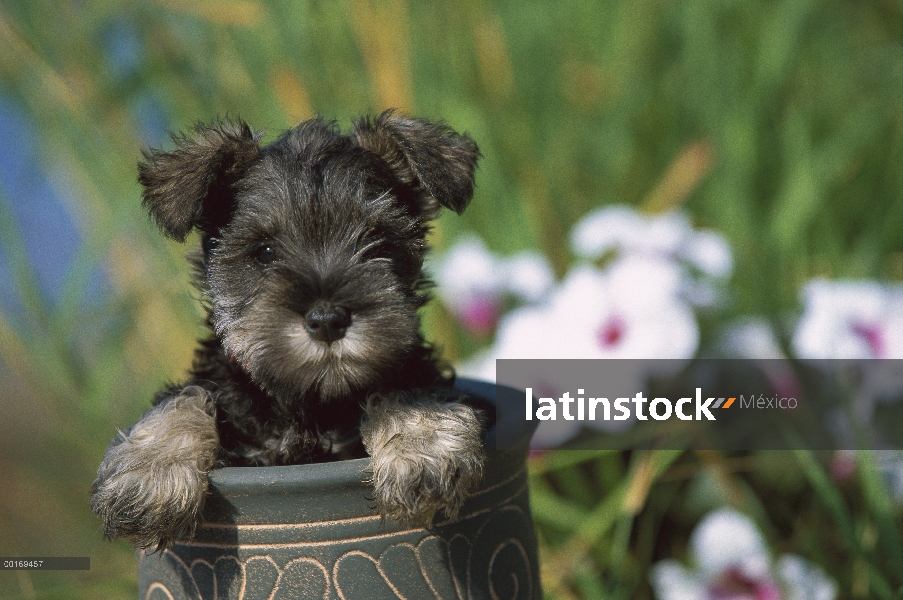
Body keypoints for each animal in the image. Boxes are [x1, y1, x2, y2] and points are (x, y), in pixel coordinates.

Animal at [88, 110, 490, 552]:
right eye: (264, 252)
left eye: (379, 243)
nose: (328, 320)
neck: (309, 403)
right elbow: (186, 396)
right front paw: (149, 476)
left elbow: (404, 386)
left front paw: (422, 448)